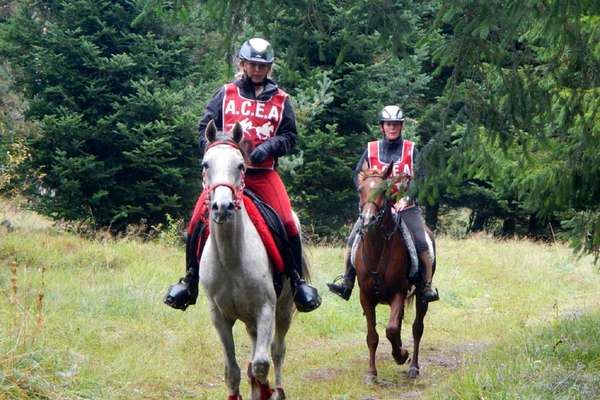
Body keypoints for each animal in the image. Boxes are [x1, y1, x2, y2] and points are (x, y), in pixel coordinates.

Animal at [199, 120, 296, 398]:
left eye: (240, 165)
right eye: (206, 164)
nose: (222, 207)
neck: (231, 258)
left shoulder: (266, 309)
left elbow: (261, 364)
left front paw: (266, 391)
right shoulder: (219, 316)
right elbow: (232, 370)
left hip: (284, 309)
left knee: (277, 351)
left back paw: (278, 390)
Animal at [354, 165, 434, 382]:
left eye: (384, 190)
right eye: (360, 189)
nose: (368, 219)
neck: (377, 249)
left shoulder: (398, 292)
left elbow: (390, 329)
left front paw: (401, 355)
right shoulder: (365, 297)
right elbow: (373, 336)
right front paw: (371, 373)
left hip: (421, 297)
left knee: (417, 329)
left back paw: (413, 366)